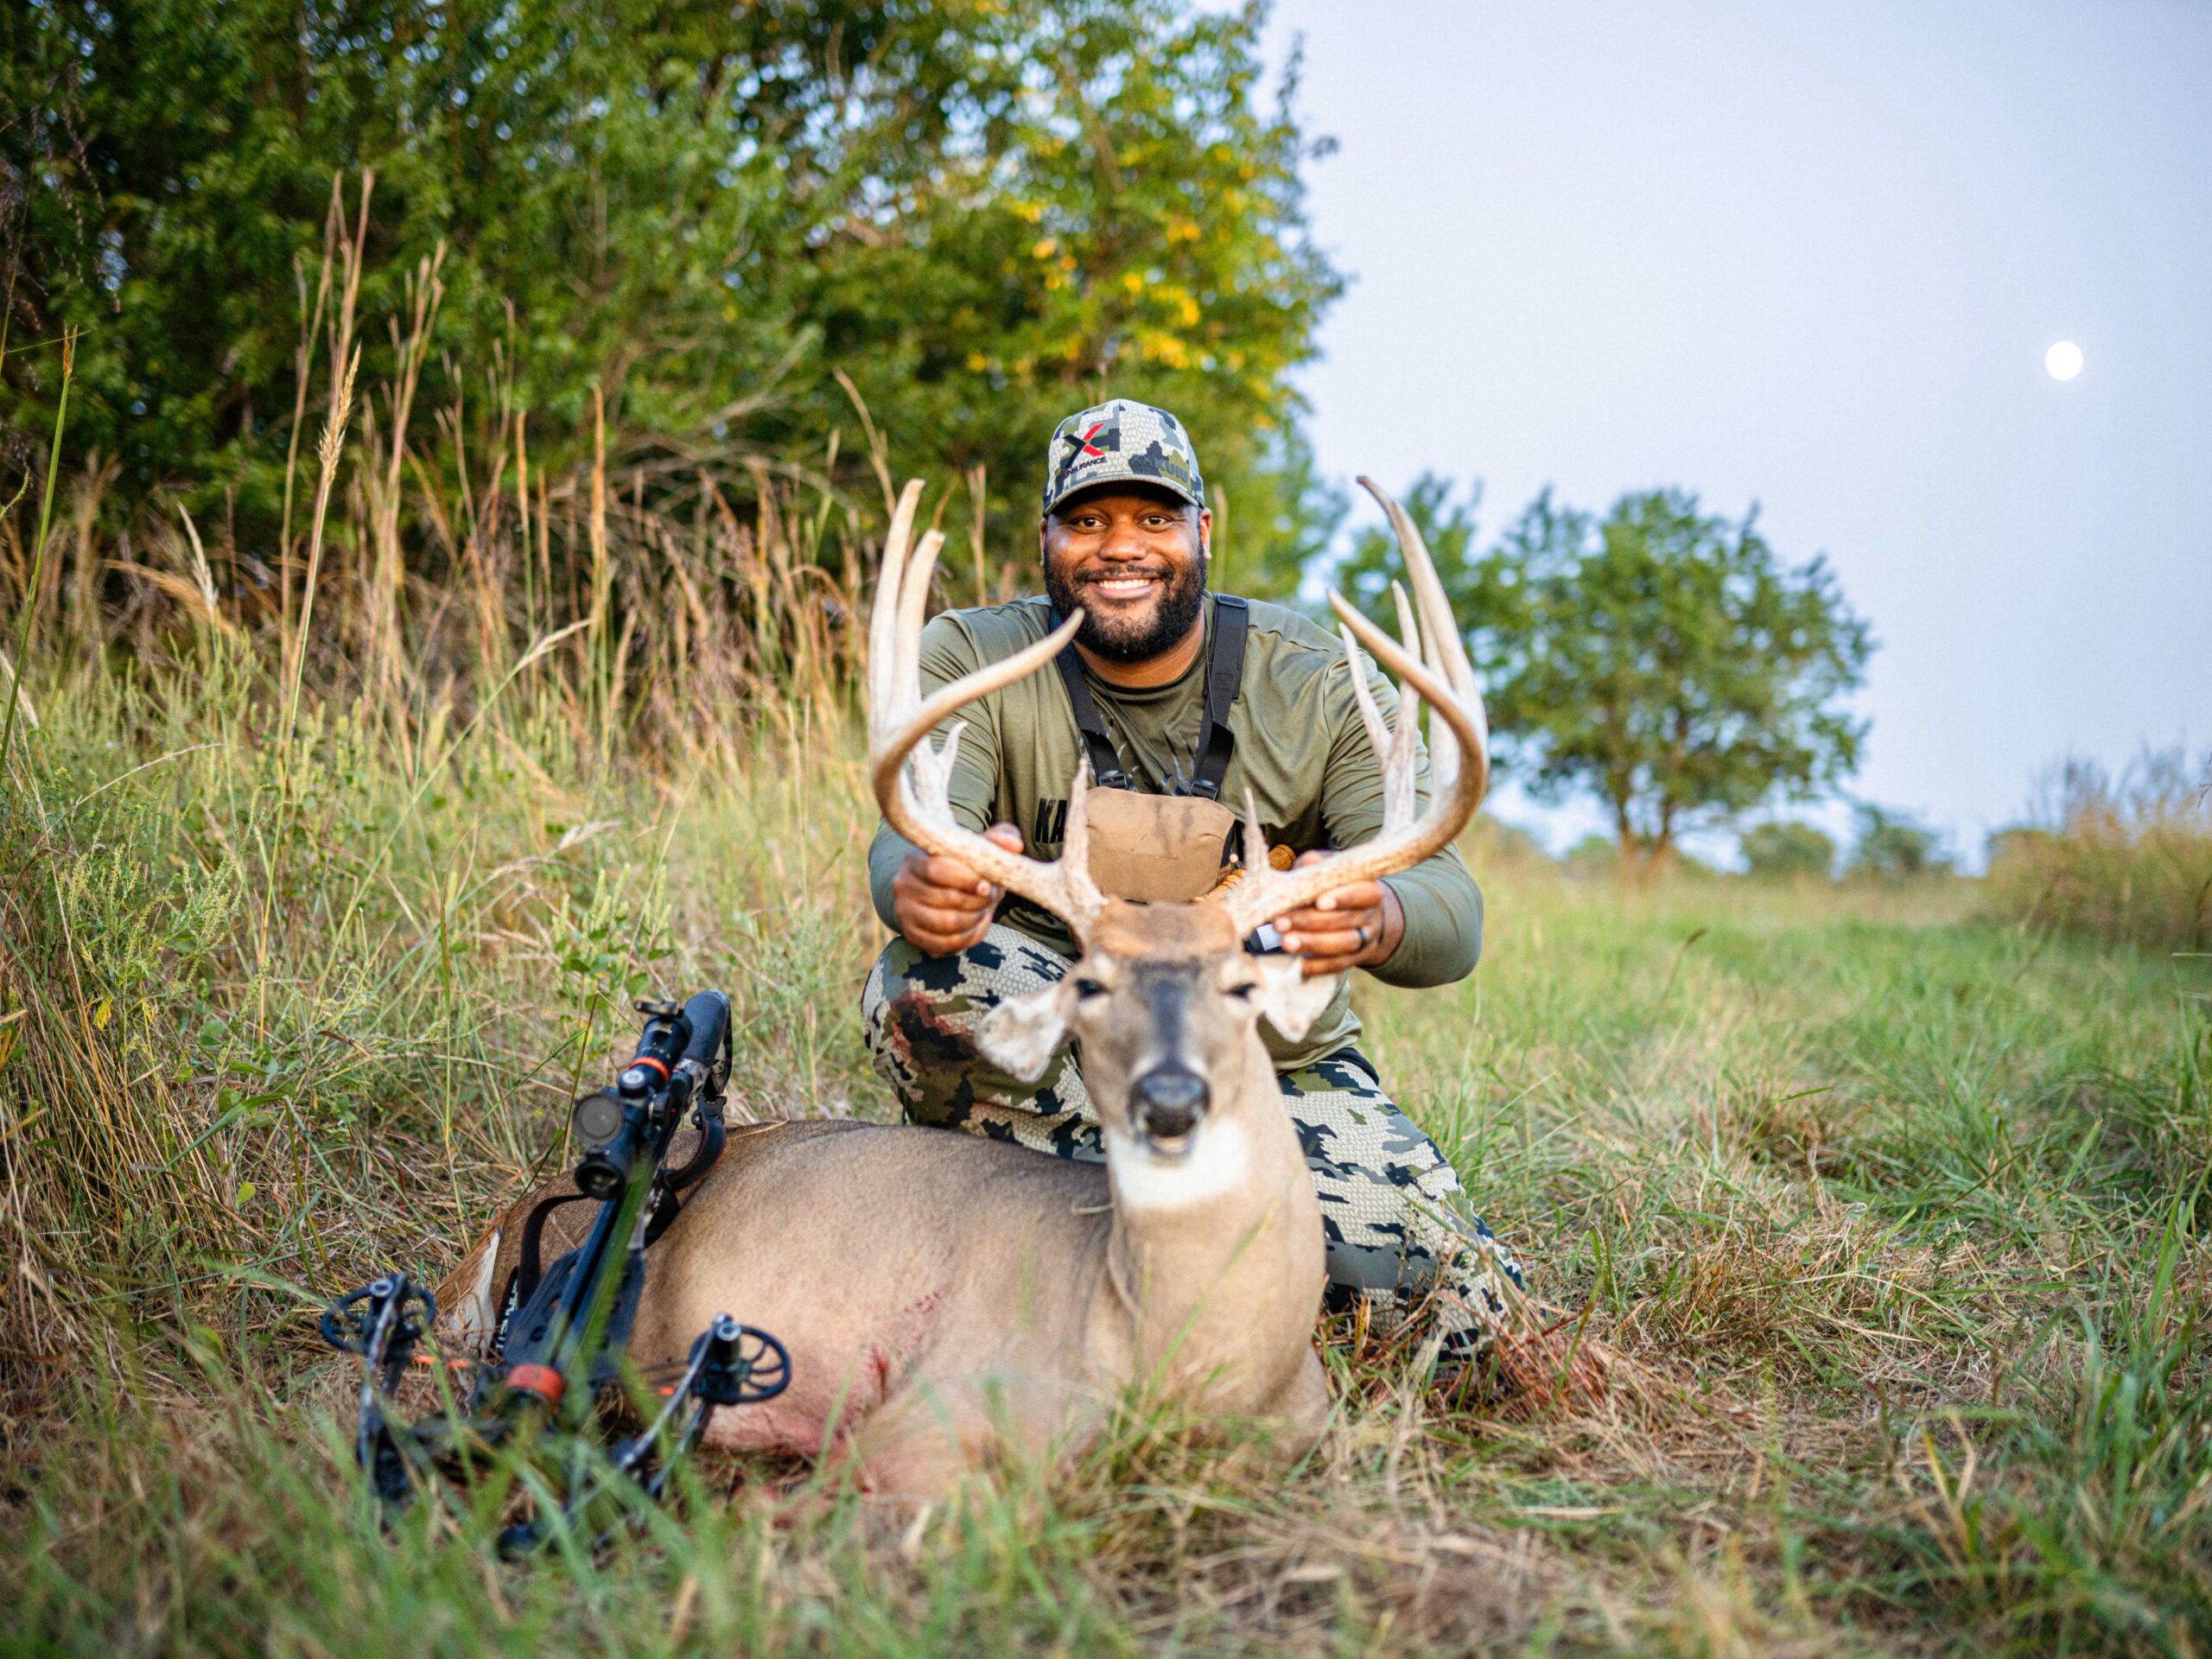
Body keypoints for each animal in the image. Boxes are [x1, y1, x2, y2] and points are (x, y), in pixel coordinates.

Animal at [436, 477, 1492, 1498]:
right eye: (1088, 986)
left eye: (1242, 985)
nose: (1169, 1099)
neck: (1183, 1361)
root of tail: (508, 1215)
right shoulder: (937, 1411)